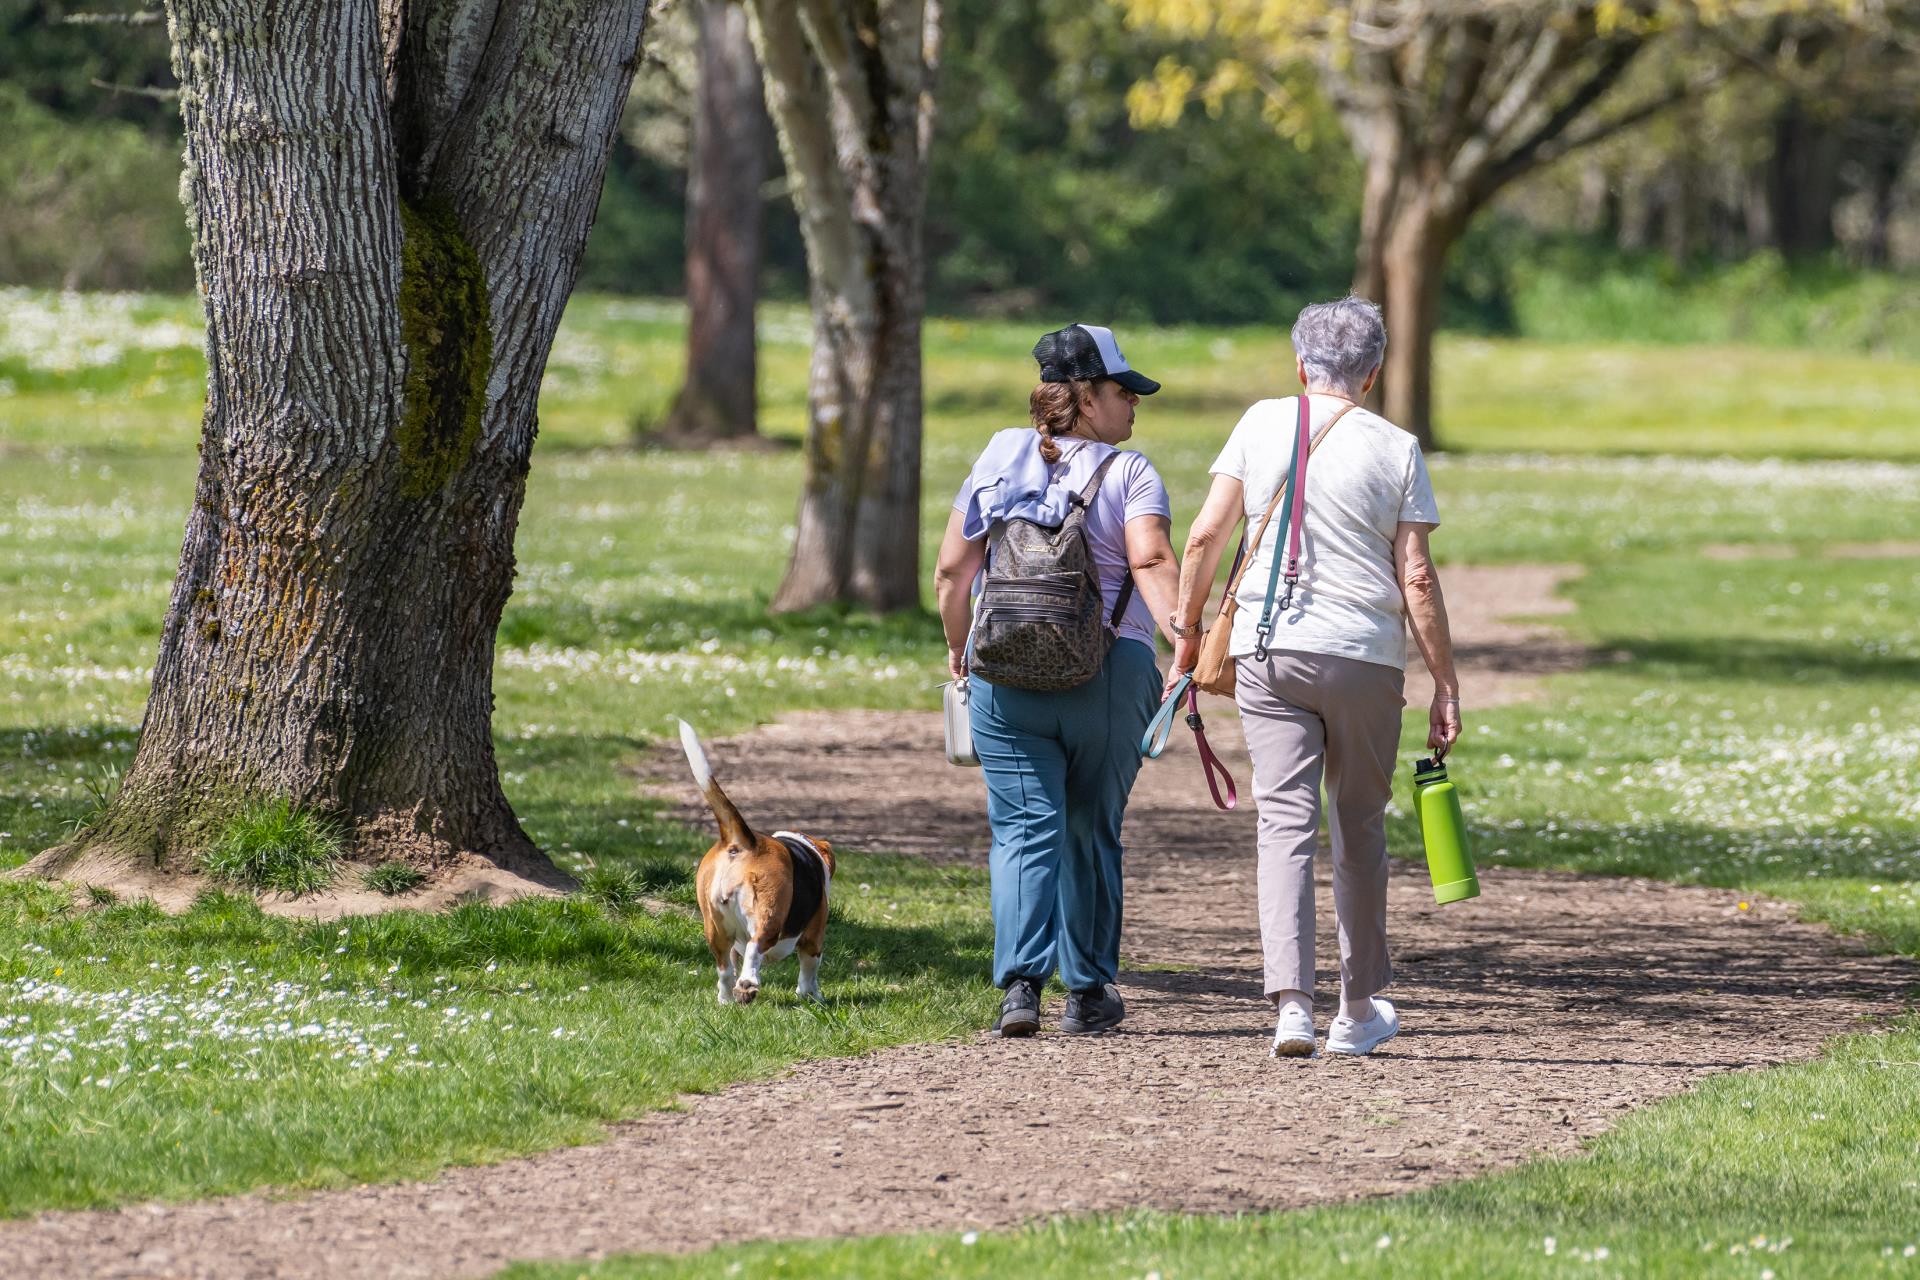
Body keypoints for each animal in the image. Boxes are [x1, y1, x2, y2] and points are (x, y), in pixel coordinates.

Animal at [683, 721, 833, 997]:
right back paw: (748, 984)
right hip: (769, 915)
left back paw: (727, 998)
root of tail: (744, 843)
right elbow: (810, 971)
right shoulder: (813, 936)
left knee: (724, 970)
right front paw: (812, 996)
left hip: (715, 928)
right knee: (755, 948)